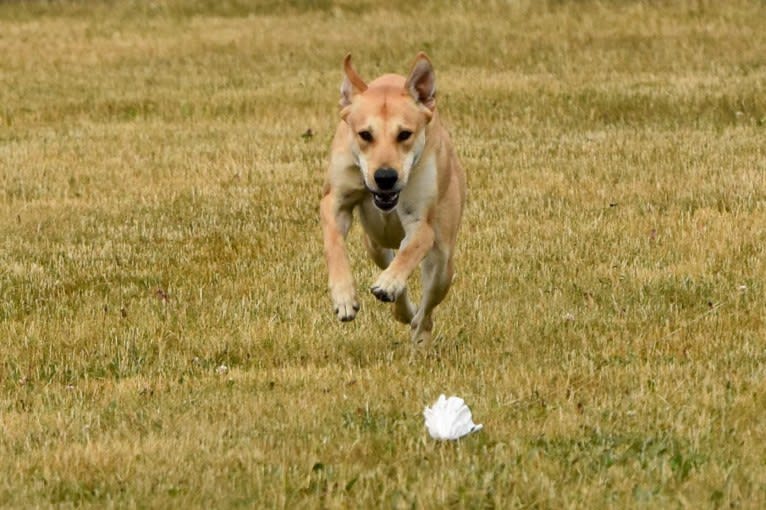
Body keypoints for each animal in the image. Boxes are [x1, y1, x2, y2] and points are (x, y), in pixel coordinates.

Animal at [320, 51, 468, 346]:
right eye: (365, 134)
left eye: (405, 134)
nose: (385, 177)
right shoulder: (335, 201)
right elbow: (334, 242)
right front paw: (344, 297)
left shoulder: (421, 223)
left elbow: (413, 246)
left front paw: (389, 283)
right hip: (375, 245)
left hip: (443, 263)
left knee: (426, 311)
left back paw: (417, 331)